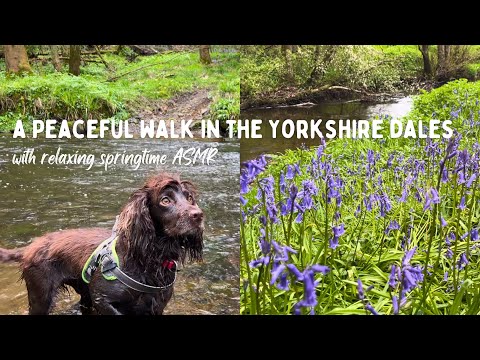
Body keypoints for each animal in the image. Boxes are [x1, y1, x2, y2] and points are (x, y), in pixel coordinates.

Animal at [0, 173, 204, 314]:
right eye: (165, 200)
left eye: (189, 198)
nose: (199, 215)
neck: (147, 258)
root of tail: (30, 246)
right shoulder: (102, 299)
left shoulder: (156, 306)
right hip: (41, 296)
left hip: (83, 294)